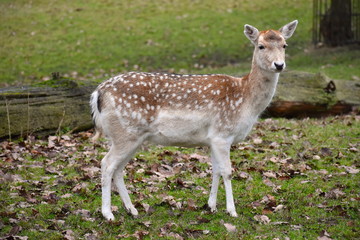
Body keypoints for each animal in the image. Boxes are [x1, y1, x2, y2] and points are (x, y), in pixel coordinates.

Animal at [90, 19, 298, 220]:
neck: (245, 100)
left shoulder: (212, 139)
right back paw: (108, 214)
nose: (279, 65)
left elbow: (215, 170)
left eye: (284, 45)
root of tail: (98, 93)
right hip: (125, 133)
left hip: (132, 137)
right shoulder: (222, 134)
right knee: (106, 164)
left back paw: (132, 210)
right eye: (261, 46)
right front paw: (232, 211)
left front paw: (211, 206)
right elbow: (228, 172)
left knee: (118, 169)